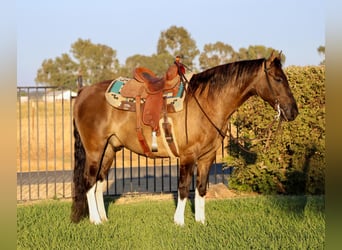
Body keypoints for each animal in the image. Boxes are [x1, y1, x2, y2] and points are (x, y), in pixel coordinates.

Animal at [71, 51, 298, 227]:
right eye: (278, 79)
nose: (293, 112)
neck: (206, 101)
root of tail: (83, 92)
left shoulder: (207, 157)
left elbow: (201, 188)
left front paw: (201, 221)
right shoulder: (188, 156)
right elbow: (182, 188)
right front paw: (179, 222)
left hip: (109, 149)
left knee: (99, 181)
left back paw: (104, 218)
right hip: (94, 149)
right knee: (89, 181)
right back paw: (95, 221)